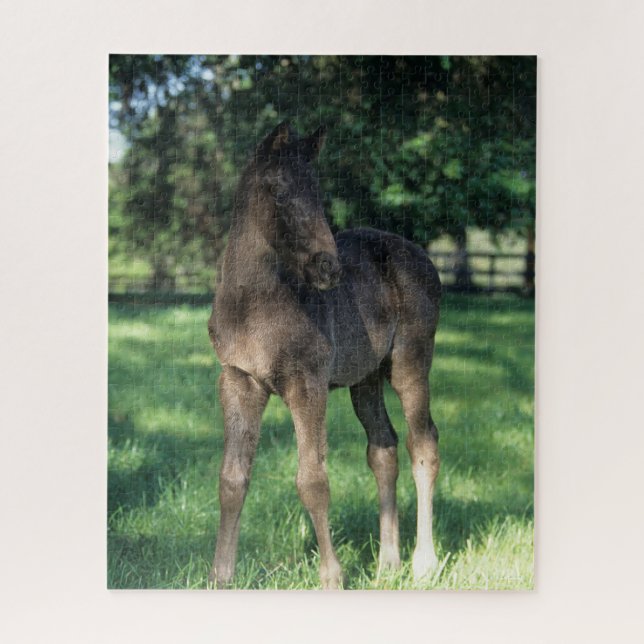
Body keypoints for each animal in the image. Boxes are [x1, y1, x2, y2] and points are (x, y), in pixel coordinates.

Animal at [207, 122, 442, 589]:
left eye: (316, 192)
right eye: (280, 191)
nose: (327, 268)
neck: (253, 305)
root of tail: (426, 260)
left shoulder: (307, 384)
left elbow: (313, 480)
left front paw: (331, 576)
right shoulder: (238, 380)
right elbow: (232, 478)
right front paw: (221, 576)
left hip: (410, 363)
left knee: (423, 444)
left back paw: (423, 563)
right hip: (365, 379)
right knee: (383, 448)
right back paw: (387, 563)